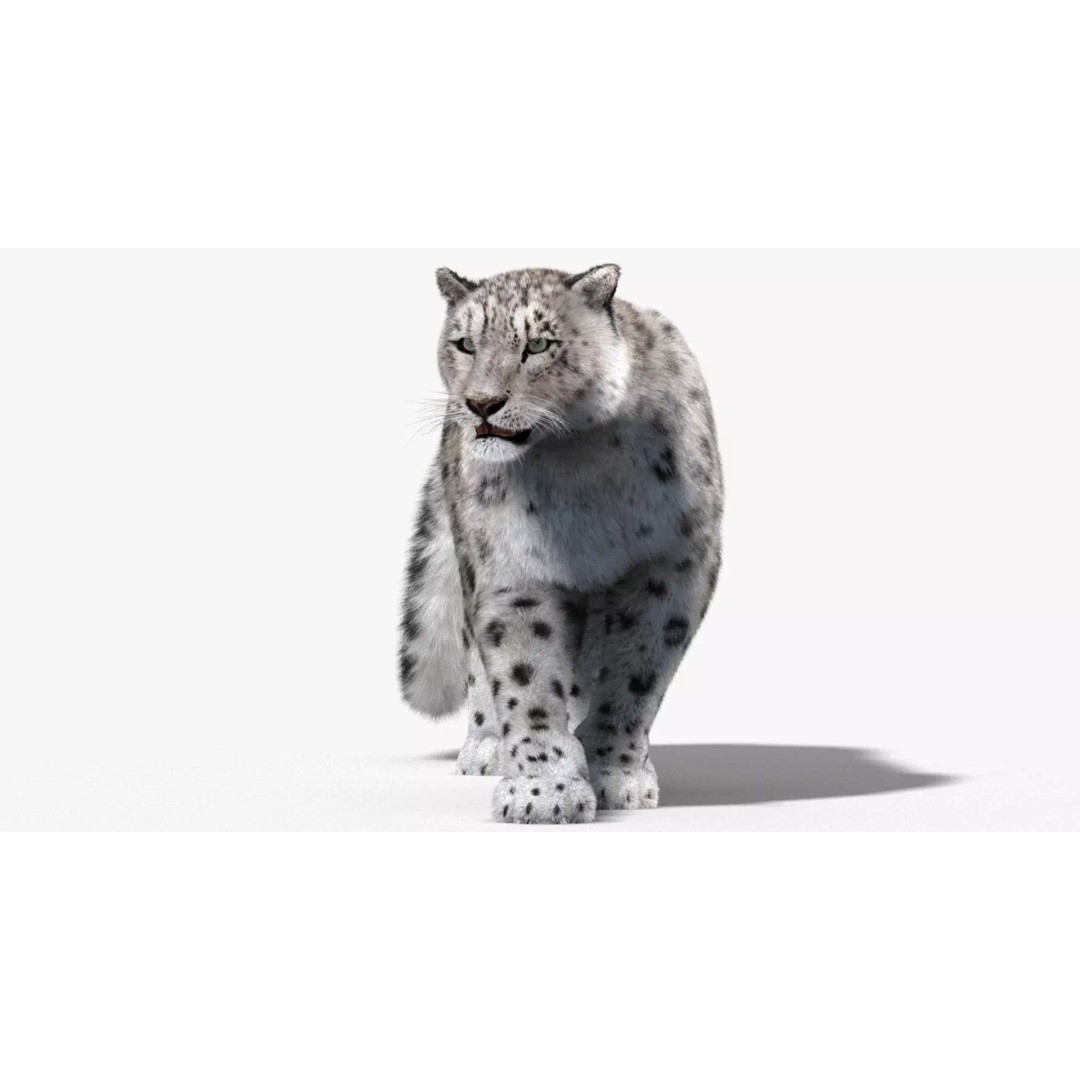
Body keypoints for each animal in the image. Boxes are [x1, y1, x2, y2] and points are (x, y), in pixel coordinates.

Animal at [397, 264, 723, 824]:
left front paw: (617, 773)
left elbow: (637, 675)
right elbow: (525, 678)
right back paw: (487, 749)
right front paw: (544, 789)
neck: (581, 469)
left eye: (539, 344)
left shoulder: (670, 567)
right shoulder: (514, 567)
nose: (482, 404)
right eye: (465, 343)